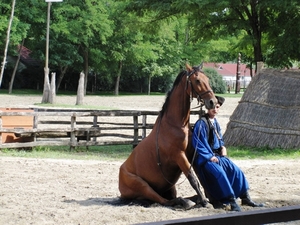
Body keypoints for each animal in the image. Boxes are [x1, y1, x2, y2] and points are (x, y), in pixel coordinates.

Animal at [118, 63, 217, 209]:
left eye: (208, 79)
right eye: (197, 80)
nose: (212, 102)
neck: (177, 125)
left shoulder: (192, 153)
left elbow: (199, 177)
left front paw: (208, 198)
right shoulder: (179, 155)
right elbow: (193, 179)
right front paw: (205, 202)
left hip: (170, 188)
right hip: (143, 185)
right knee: (163, 200)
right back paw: (185, 202)